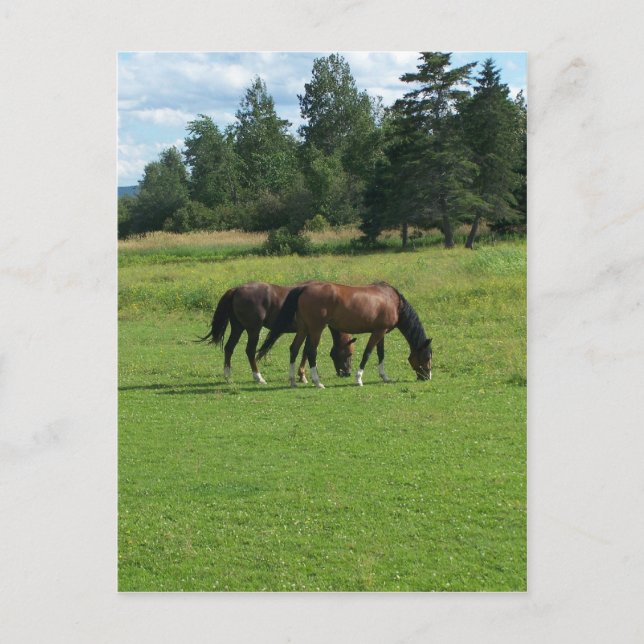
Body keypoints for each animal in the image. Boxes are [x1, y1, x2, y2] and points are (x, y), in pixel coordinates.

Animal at [198, 281, 356, 384]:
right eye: (349, 354)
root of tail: (236, 289)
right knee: (250, 351)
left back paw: (228, 376)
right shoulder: (312, 330)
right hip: (253, 330)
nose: (347, 373)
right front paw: (303, 375)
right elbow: (306, 351)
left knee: (229, 348)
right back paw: (258, 377)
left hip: (238, 328)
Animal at [256, 281, 432, 388]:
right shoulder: (377, 332)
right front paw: (359, 379)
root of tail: (304, 288)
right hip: (316, 329)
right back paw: (317, 382)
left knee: (294, 349)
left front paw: (384, 377)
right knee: (311, 352)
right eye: (427, 356)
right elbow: (367, 354)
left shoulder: (381, 332)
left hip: (303, 328)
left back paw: (293, 381)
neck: (393, 301)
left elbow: (380, 354)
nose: (427, 377)